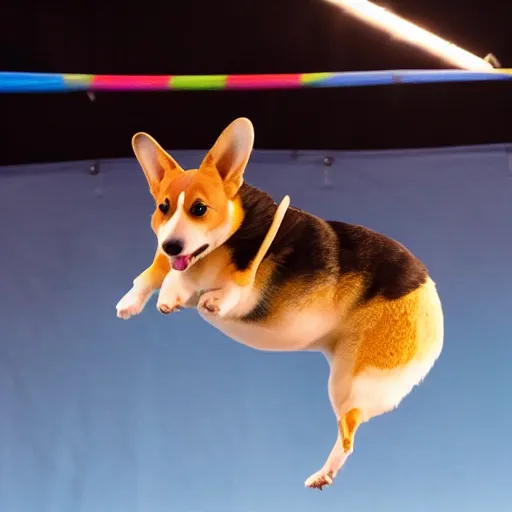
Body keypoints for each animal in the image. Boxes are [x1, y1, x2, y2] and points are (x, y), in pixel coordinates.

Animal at [116, 118, 444, 490]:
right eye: (164, 208)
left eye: (199, 209)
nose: (172, 245)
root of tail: (428, 290)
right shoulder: (170, 258)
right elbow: (154, 273)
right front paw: (133, 301)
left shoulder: (242, 280)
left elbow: (213, 283)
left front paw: (189, 293)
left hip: (352, 380)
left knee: (348, 432)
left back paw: (324, 473)